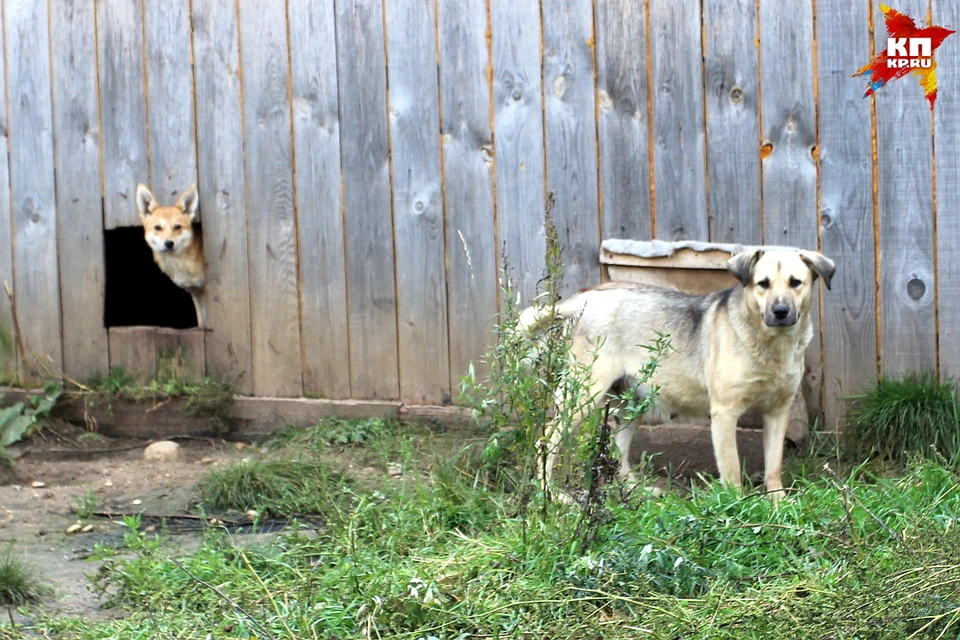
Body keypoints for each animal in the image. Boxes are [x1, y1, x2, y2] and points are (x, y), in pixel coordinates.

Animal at [520, 248, 836, 498]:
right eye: (763, 284)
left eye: (795, 283)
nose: (780, 311)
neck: (771, 344)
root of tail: (583, 299)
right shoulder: (725, 413)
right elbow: (732, 470)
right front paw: (737, 507)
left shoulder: (777, 413)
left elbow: (773, 466)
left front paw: (777, 504)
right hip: (582, 397)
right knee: (544, 441)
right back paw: (551, 496)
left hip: (631, 403)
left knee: (619, 451)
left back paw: (636, 490)